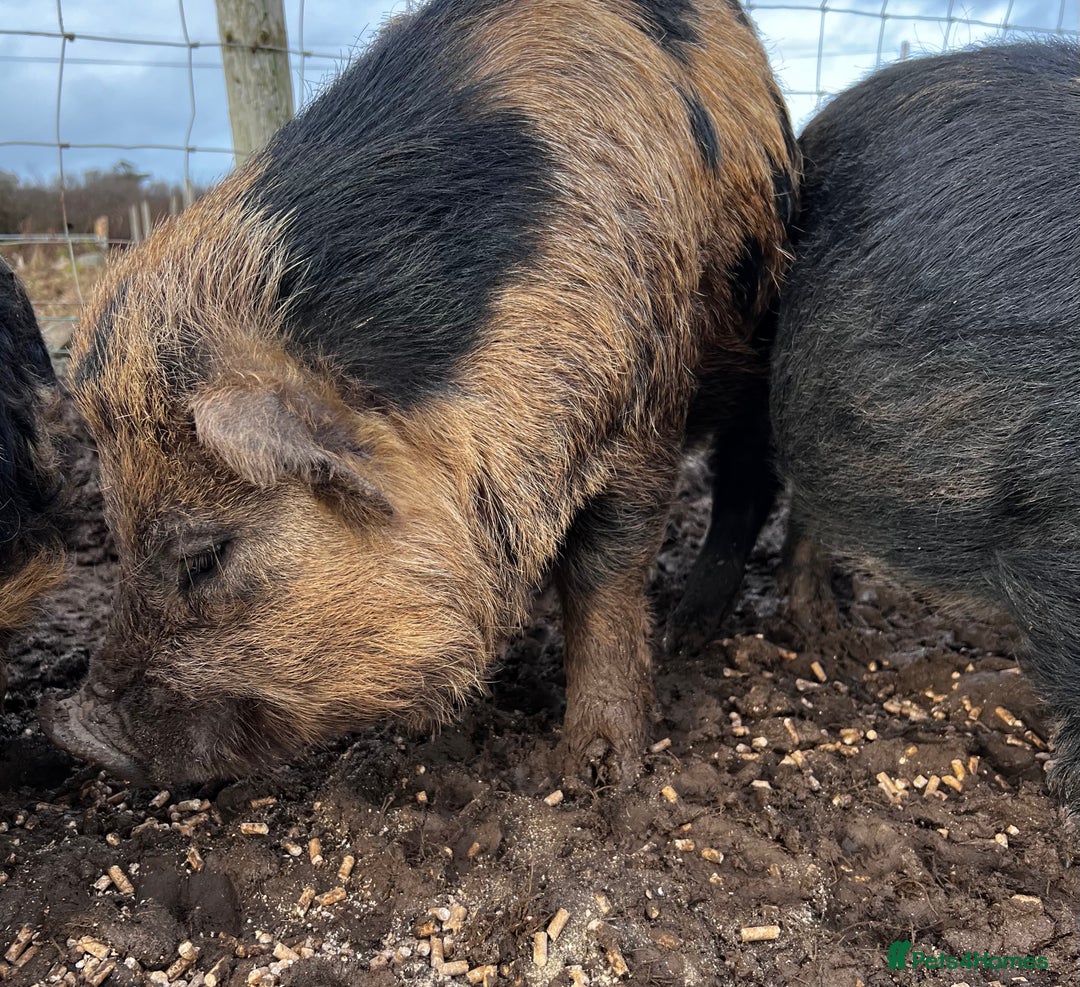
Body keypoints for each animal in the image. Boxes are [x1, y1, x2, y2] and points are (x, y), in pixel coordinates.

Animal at [41, 0, 798, 788]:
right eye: (117, 535)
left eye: (204, 554)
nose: (73, 734)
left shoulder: (643, 412)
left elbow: (605, 577)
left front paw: (594, 771)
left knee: (748, 479)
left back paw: (689, 630)